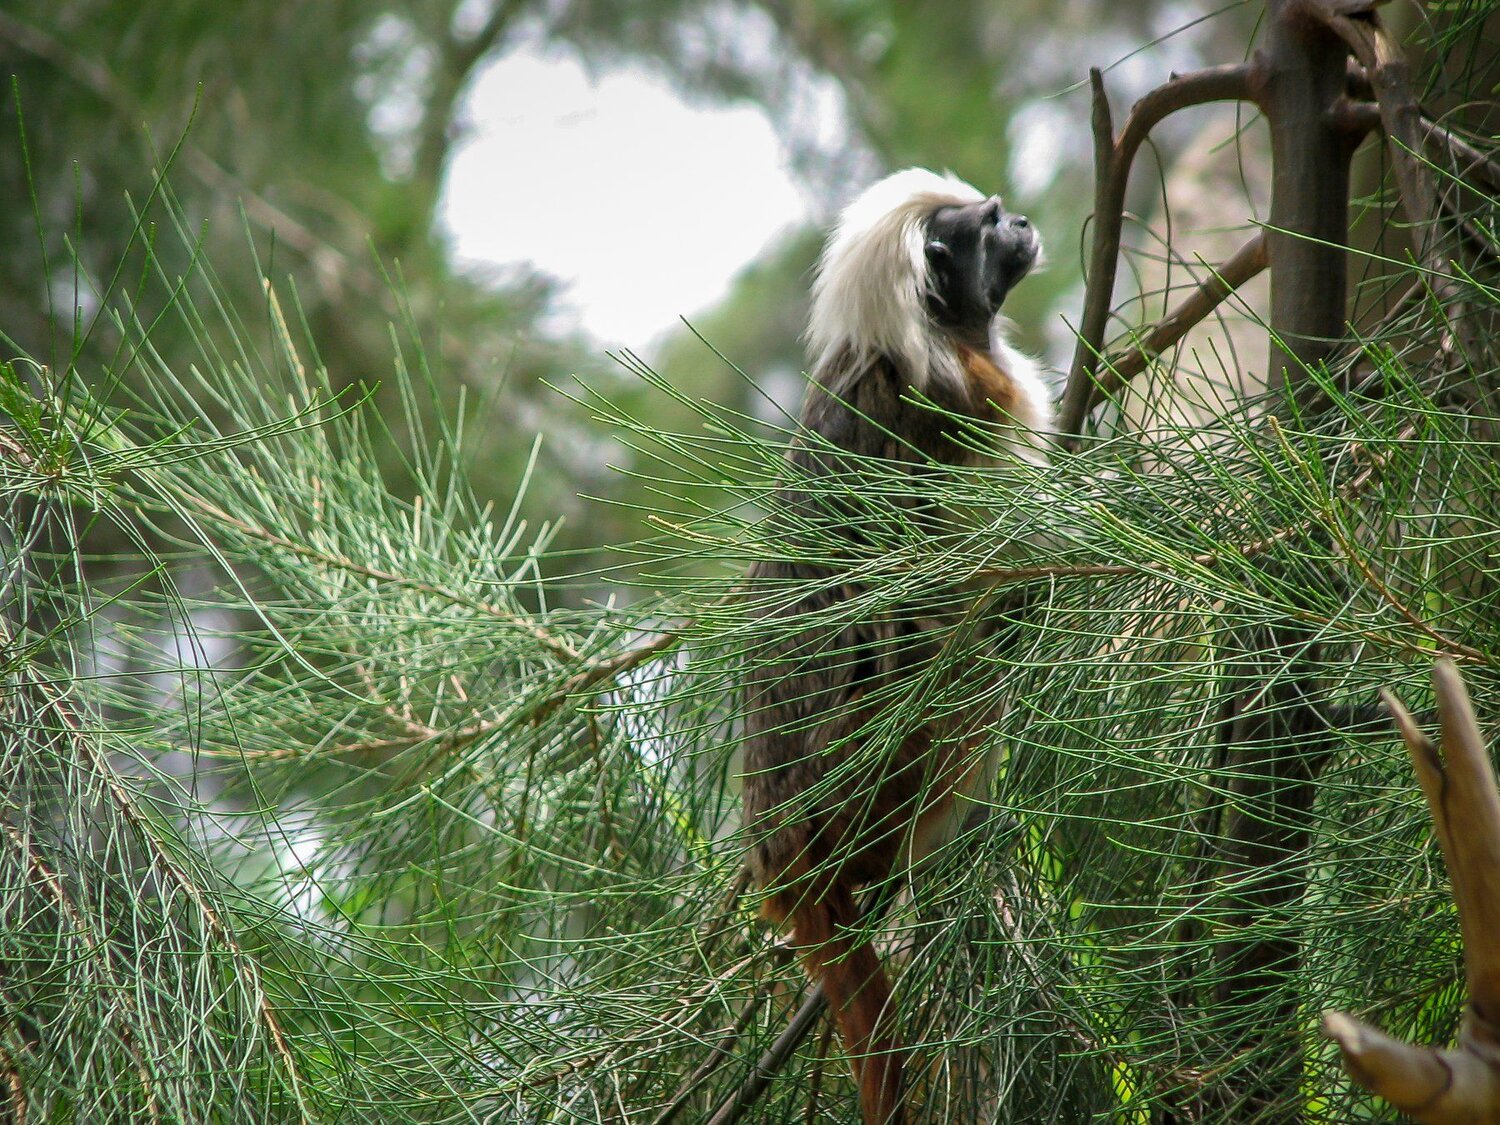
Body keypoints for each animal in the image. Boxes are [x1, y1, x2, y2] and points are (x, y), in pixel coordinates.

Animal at [740, 168, 1051, 1125]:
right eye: (991, 225)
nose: (1026, 223)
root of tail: (783, 852)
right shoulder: (962, 408)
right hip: (860, 776)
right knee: (919, 657)